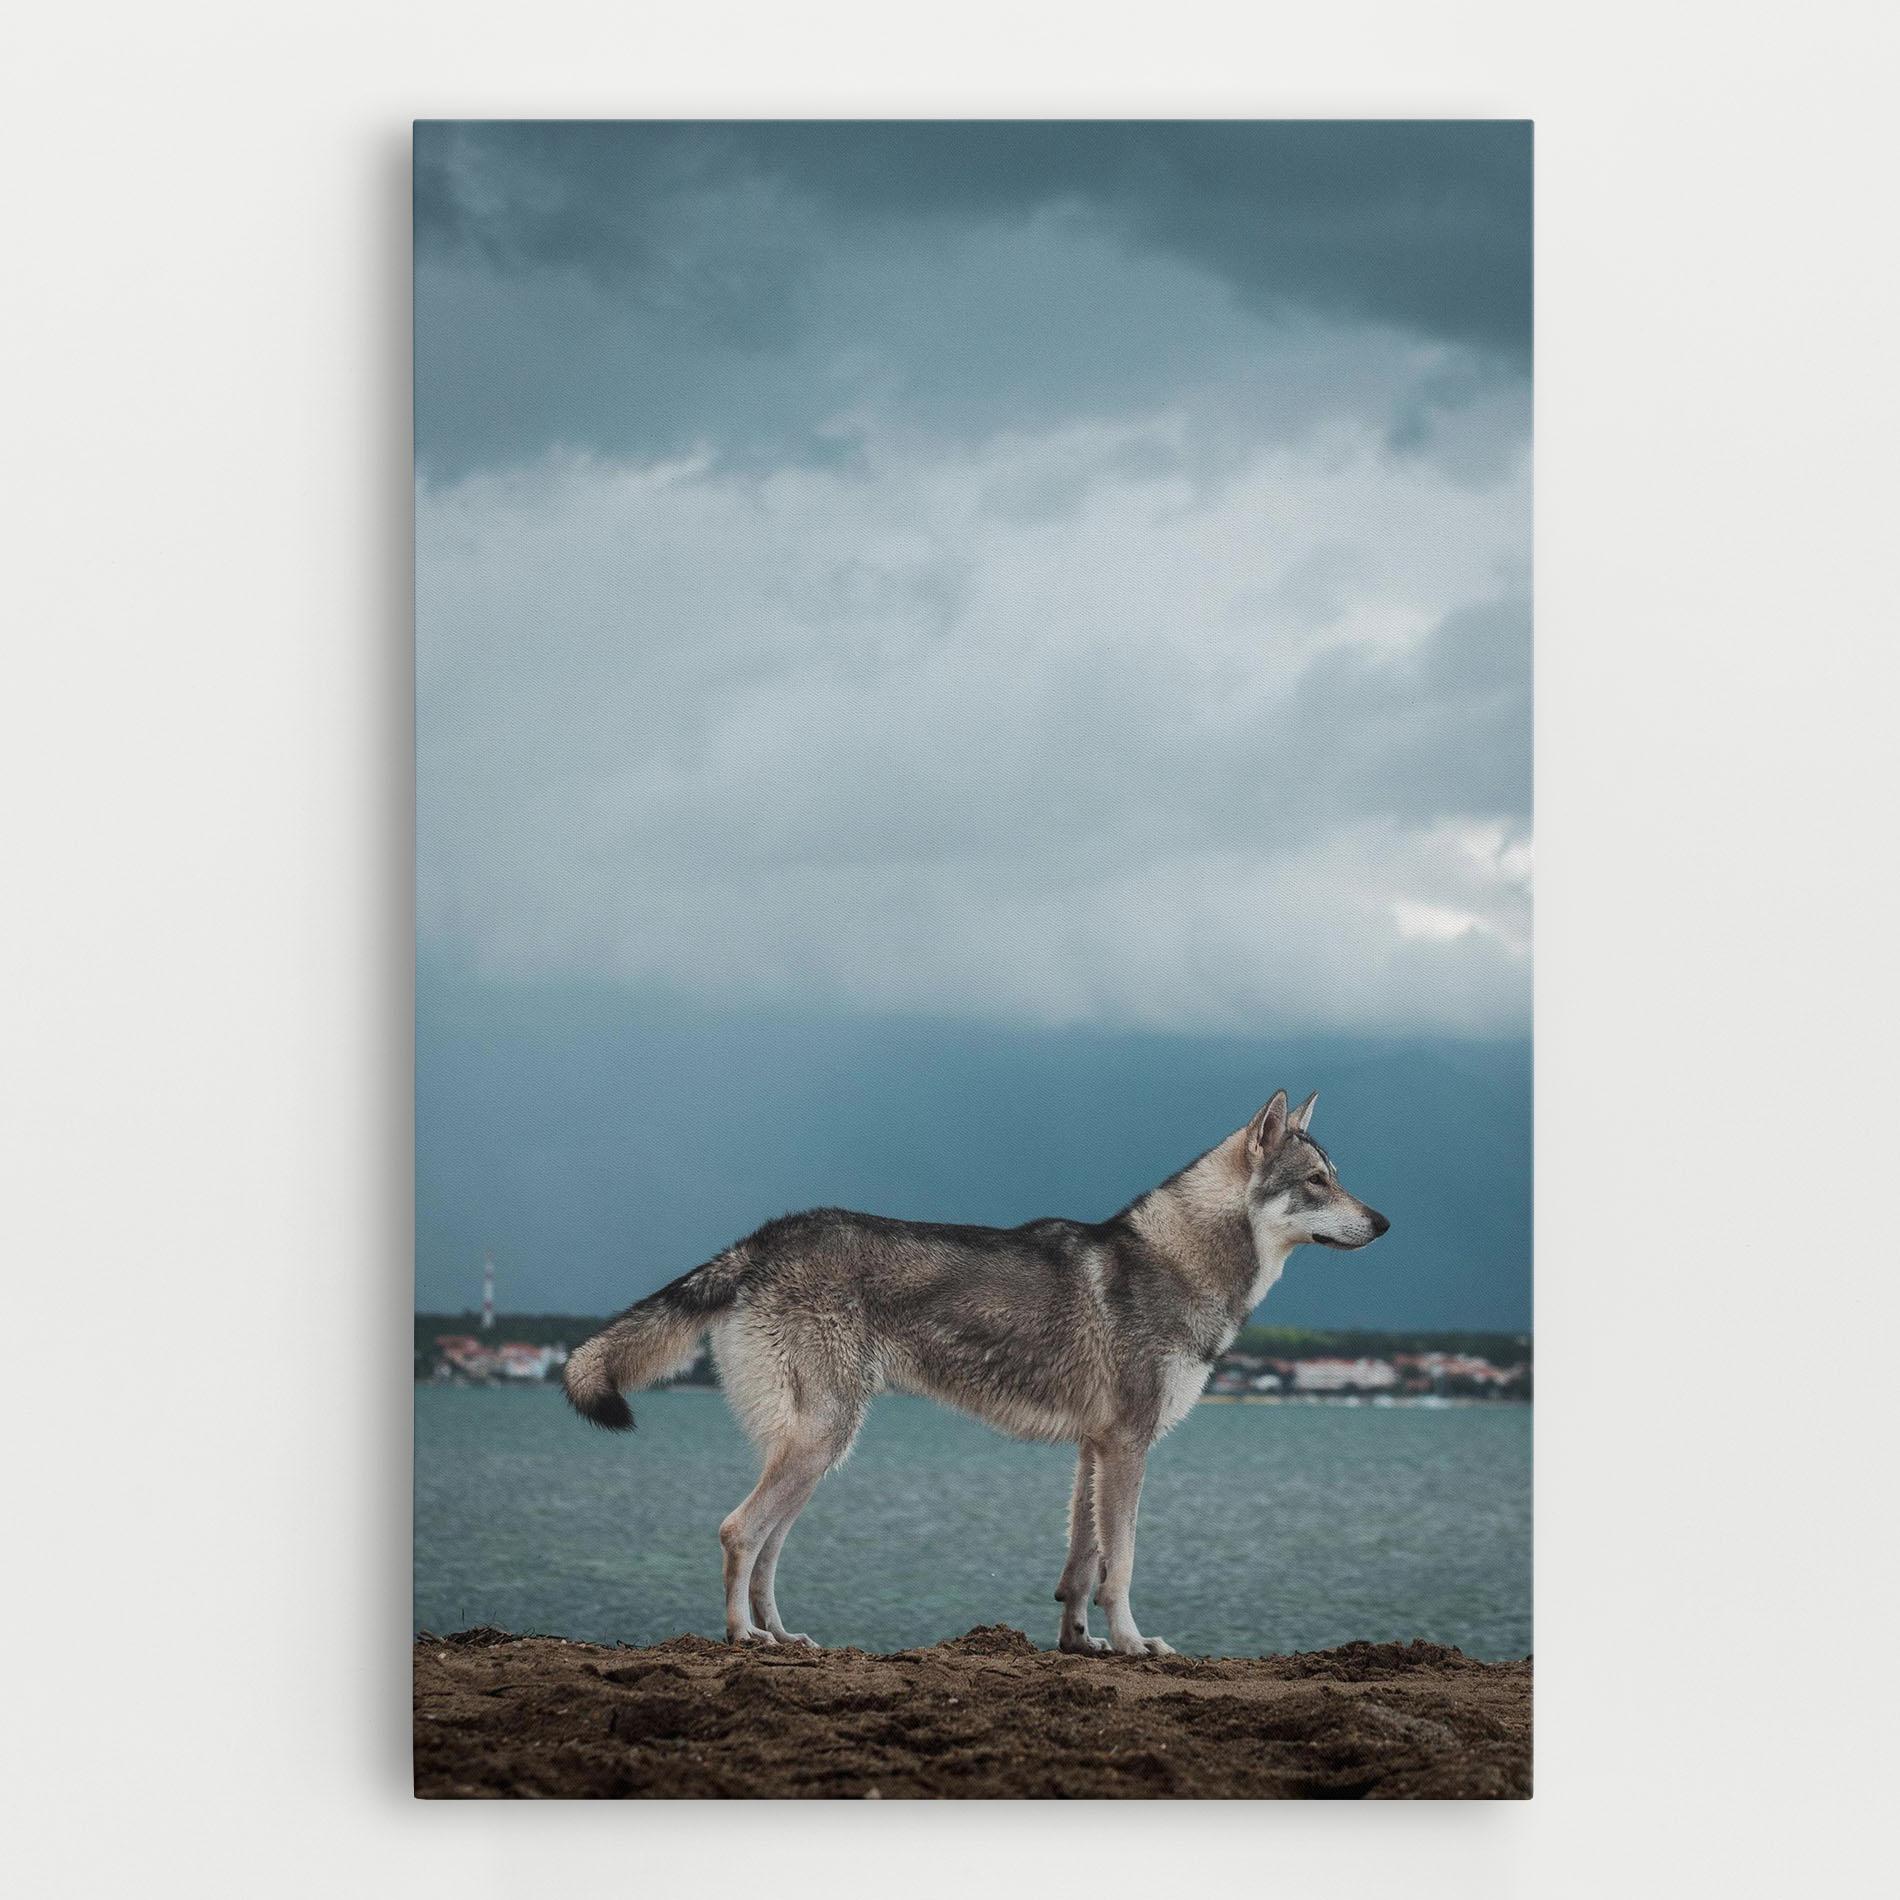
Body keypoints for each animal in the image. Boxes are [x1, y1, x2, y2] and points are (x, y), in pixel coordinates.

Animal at [563, 1089, 1388, 1655]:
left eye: (1338, 1177)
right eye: (1317, 1181)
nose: (1384, 1222)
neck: (1182, 1264)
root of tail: (763, 1238)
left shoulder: (1093, 1450)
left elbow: (1081, 1565)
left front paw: (1080, 1644)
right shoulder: (1128, 1448)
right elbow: (1120, 1564)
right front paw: (1132, 1644)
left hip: (819, 1455)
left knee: (765, 1548)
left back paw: (785, 1636)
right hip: (820, 1445)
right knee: (738, 1532)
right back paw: (744, 1638)